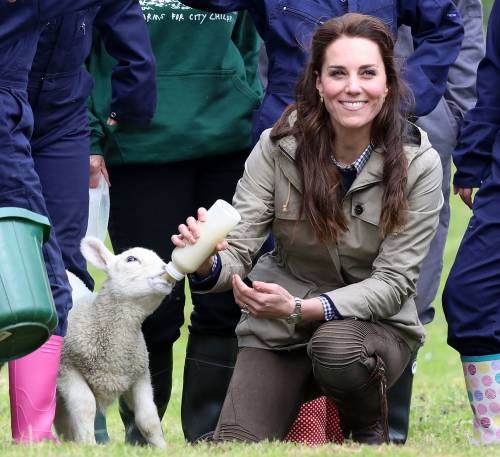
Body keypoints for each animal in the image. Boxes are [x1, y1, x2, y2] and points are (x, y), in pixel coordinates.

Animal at [54, 235, 175, 446]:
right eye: (131, 259)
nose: (165, 269)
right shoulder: (67, 368)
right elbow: (85, 406)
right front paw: (88, 444)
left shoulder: (139, 375)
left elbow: (148, 418)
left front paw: (162, 447)